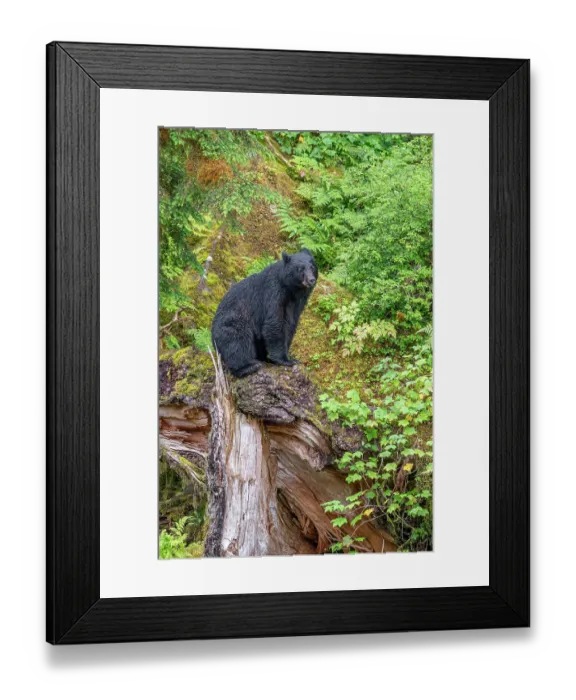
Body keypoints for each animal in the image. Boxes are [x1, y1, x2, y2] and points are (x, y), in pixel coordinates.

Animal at [211, 249, 318, 377]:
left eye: (312, 267)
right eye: (300, 269)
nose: (311, 280)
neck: (291, 290)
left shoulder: (297, 304)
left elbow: (290, 325)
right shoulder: (273, 293)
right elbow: (274, 324)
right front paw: (286, 359)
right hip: (231, 322)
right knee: (237, 342)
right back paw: (249, 366)